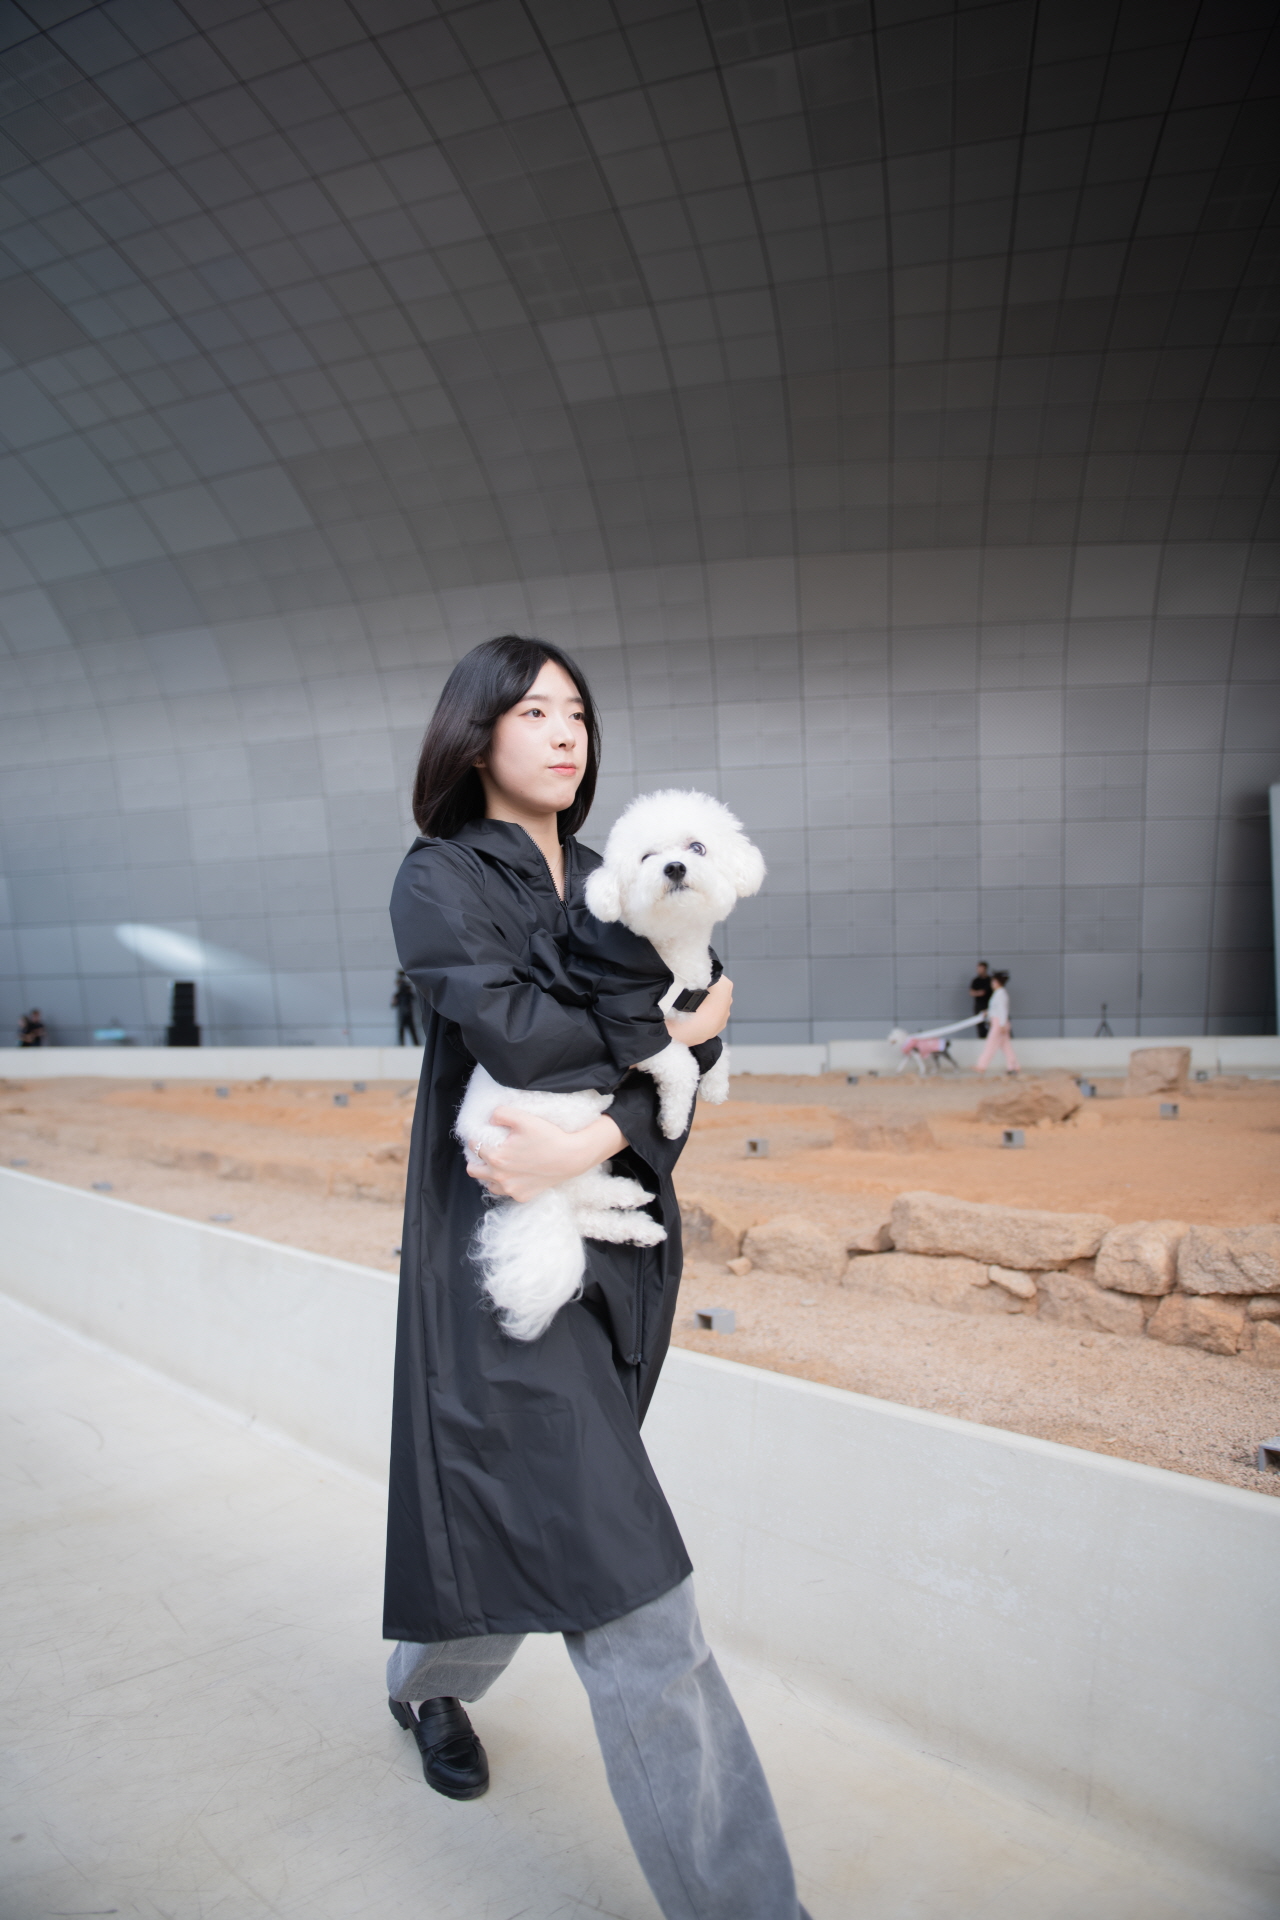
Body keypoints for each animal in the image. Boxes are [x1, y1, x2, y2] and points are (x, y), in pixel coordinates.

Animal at [458, 790, 765, 1342]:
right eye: (646, 857)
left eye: (697, 846)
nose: (674, 867)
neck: (666, 956)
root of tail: (477, 1139)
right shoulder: (629, 1025)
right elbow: (679, 1061)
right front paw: (673, 1117)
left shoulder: (692, 1009)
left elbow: (710, 1044)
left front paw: (717, 1081)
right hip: (567, 1114)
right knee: (571, 1183)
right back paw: (626, 1194)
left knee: (580, 1210)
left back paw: (634, 1220)